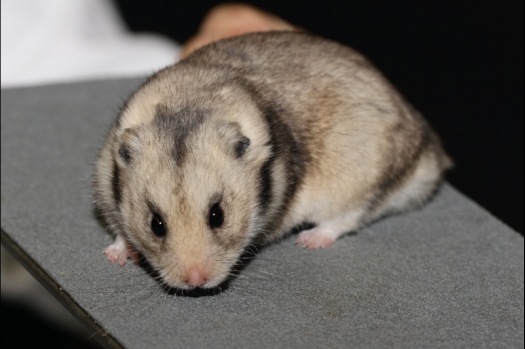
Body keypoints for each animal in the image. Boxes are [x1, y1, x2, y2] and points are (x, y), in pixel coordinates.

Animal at [93, 32, 450, 288]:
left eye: (218, 215)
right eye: (156, 224)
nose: (196, 282)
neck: (189, 100)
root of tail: (432, 154)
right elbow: (121, 233)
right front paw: (114, 256)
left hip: (364, 180)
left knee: (346, 218)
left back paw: (309, 241)